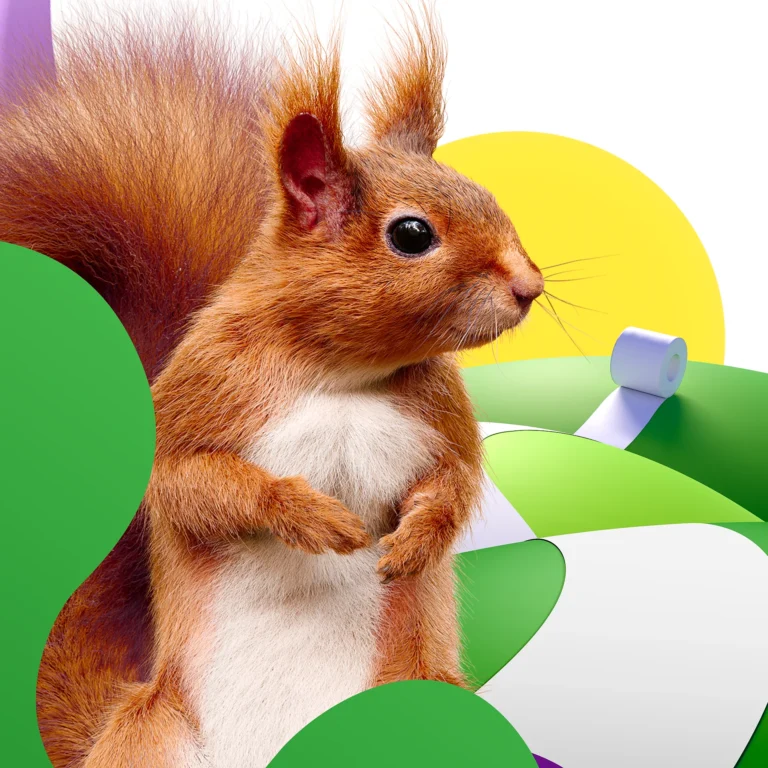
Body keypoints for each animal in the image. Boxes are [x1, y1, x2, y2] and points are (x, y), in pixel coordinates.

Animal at [0, 6, 544, 768]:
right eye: (412, 234)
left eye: (489, 196)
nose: (530, 286)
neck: (342, 377)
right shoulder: (205, 387)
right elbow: (185, 481)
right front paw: (306, 513)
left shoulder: (442, 418)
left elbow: (455, 481)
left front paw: (417, 540)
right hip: (151, 740)